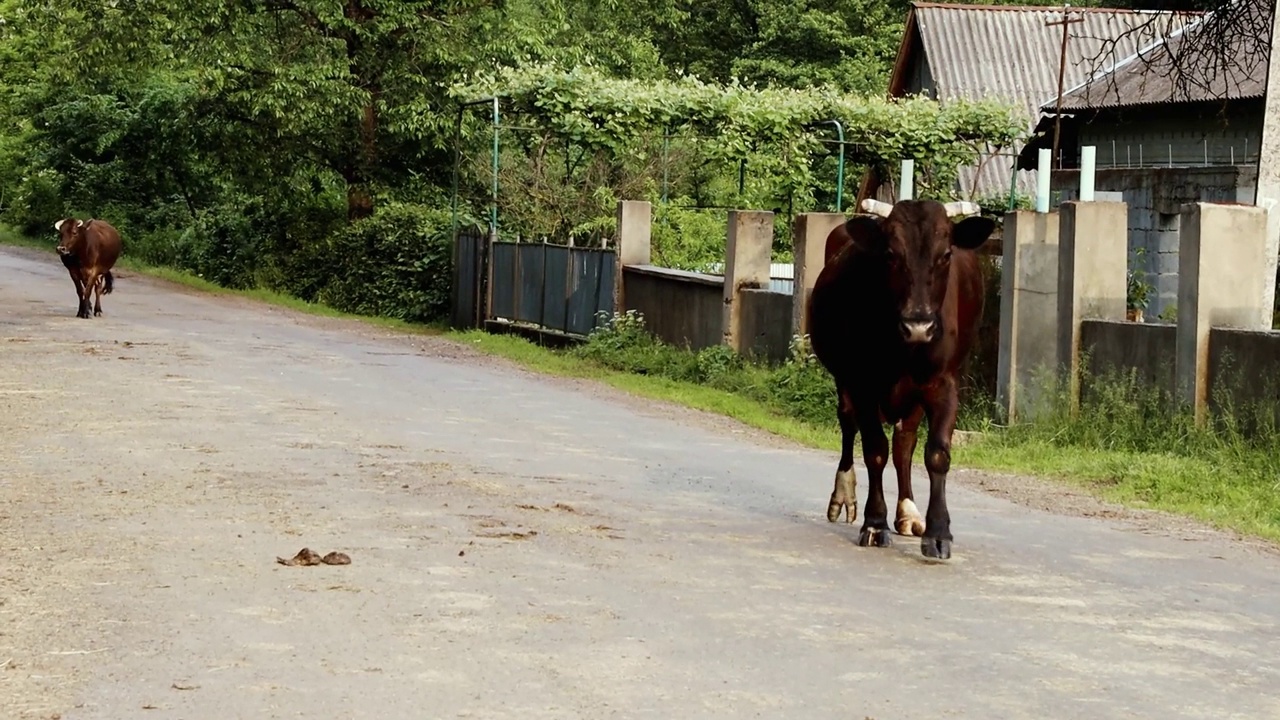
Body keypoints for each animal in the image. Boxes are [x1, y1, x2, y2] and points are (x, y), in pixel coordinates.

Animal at [803, 197, 993, 561]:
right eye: (890, 254)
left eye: (945, 254)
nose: (918, 326)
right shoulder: (862, 384)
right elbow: (875, 450)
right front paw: (875, 523)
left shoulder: (944, 384)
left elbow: (936, 454)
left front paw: (938, 532)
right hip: (843, 380)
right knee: (848, 424)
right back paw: (844, 495)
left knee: (905, 442)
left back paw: (908, 511)